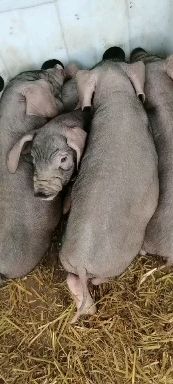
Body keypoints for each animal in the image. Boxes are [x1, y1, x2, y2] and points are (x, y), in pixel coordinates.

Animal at [60, 46, 159, 322]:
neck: (116, 95)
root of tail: (83, 261)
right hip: (119, 260)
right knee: (97, 281)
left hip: (66, 259)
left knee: (77, 284)